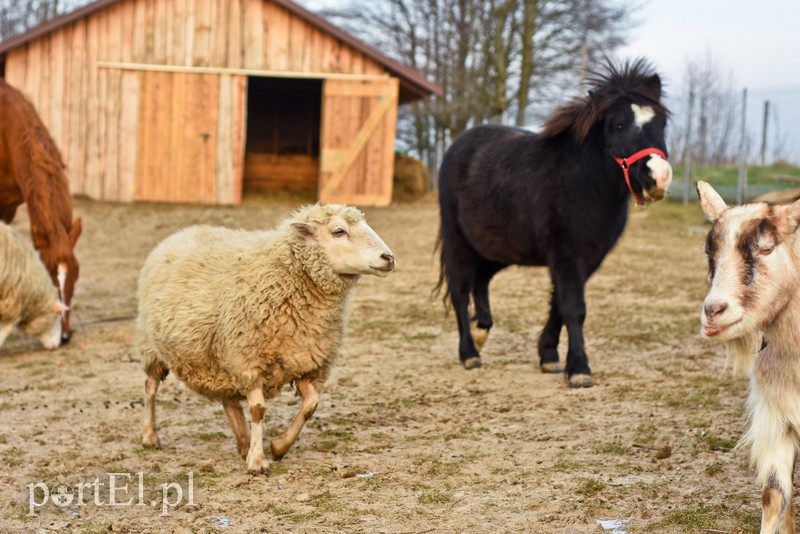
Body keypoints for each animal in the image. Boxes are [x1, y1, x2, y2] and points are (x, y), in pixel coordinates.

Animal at [141, 203, 396, 476]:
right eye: (339, 231)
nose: (389, 258)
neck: (283, 277)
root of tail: (180, 233)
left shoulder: (304, 360)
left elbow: (311, 405)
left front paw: (278, 447)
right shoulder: (248, 360)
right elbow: (258, 410)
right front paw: (257, 462)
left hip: (220, 357)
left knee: (229, 402)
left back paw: (243, 441)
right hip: (154, 348)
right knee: (150, 388)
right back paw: (150, 437)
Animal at [434, 59, 672, 390]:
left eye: (661, 124)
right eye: (618, 125)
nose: (658, 178)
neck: (582, 182)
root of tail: (458, 146)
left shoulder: (587, 258)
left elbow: (559, 304)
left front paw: (549, 356)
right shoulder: (566, 255)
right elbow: (574, 308)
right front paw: (579, 369)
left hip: (497, 249)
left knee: (481, 281)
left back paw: (482, 331)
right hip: (458, 239)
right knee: (459, 290)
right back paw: (469, 353)